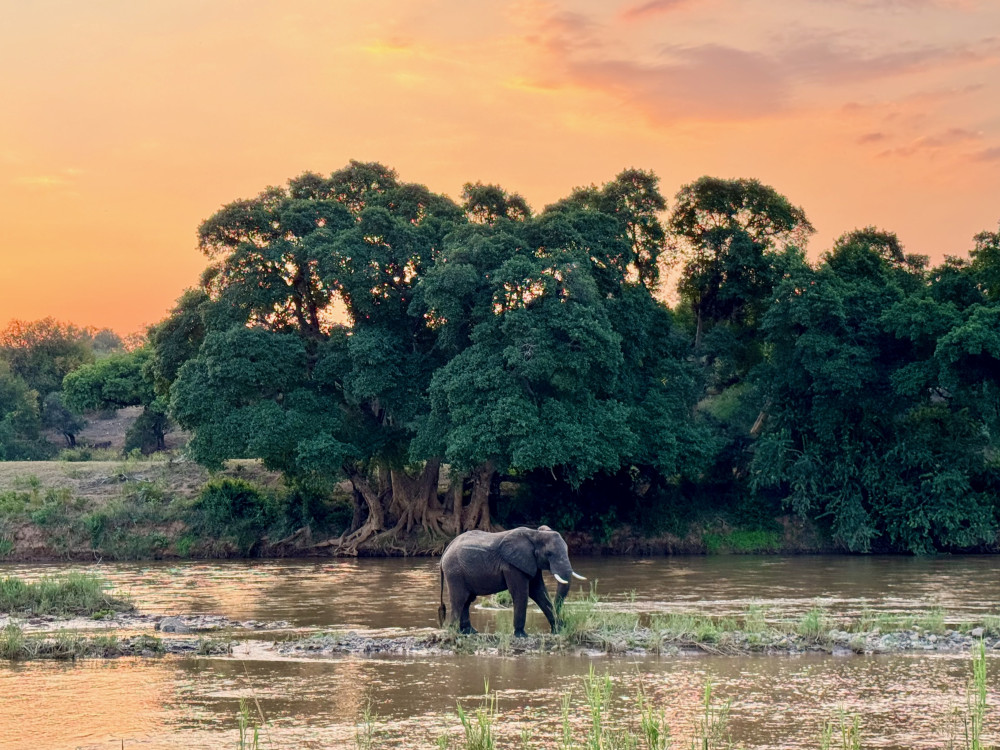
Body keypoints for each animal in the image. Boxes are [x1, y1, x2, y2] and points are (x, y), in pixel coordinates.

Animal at [438, 524, 584, 636]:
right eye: (549, 554)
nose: (563, 624)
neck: (535, 534)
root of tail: (445, 550)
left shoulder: (531, 563)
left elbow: (539, 592)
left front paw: (559, 631)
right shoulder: (512, 565)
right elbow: (521, 593)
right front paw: (521, 635)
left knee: (467, 600)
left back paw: (470, 632)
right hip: (454, 571)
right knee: (460, 598)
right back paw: (454, 632)